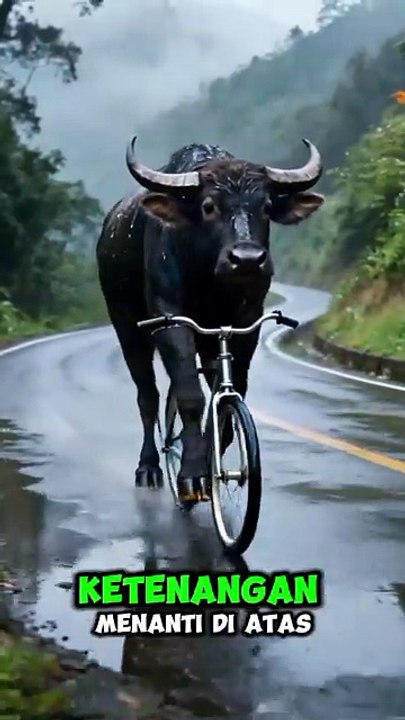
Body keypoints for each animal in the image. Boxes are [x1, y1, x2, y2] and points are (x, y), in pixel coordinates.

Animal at [96, 139, 324, 502]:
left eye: (266, 206)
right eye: (208, 206)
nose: (248, 260)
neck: (208, 277)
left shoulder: (245, 323)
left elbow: (228, 397)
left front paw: (210, 458)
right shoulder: (170, 319)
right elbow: (190, 396)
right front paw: (191, 474)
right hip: (127, 329)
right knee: (148, 396)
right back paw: (149, 468)